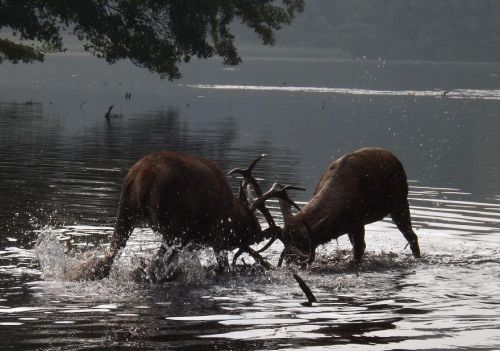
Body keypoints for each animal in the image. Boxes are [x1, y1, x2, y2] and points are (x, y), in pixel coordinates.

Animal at [75, 151, 284, 280]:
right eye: (249, 226)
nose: (258, 234)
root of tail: (143, 176)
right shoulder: (217, 236)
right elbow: (222, 266)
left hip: (126, 211)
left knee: (114, 252)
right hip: (173, 227)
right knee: (154, 266)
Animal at [254, 148, 422, 266]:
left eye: (304, 244)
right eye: (284, 242)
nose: (290, 261)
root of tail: (396, 158)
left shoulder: (357, 221)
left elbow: (359, 250)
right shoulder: (349, 226)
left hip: (399, 203)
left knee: (412, 236)